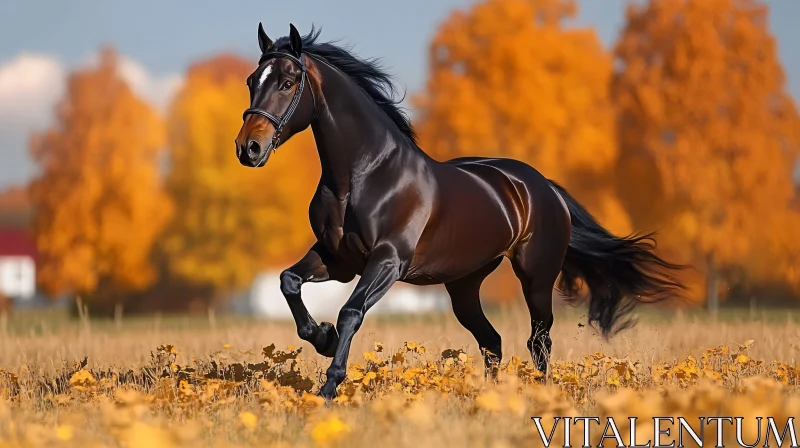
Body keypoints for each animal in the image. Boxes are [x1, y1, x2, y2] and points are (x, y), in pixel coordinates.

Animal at [234, 23, 684, 400]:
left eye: (288, 82)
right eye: (252, 81)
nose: (248, 148)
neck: (364, 175)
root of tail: (543, 187)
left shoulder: (387, 261)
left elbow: (350, 312)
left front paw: (329, 385)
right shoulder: (337, 259)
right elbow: (289, 282)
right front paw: (322, 337)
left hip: (536, 279)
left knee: (538, 341)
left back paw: (542, 395)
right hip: (465, 285)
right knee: (492, 342)